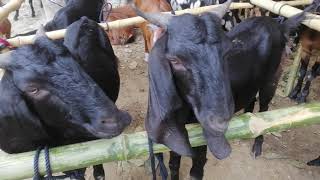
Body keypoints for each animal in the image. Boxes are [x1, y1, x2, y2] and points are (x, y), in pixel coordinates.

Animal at [133, 0, 312, 179]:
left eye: (226, 53)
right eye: (174, 60)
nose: (219, 121)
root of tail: (278, 25)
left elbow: (196, 169)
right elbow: (174, 164)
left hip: (272, 78)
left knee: (265, 109)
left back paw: (257, 146)